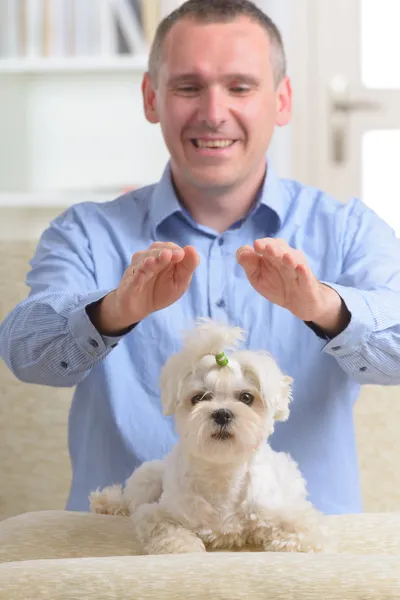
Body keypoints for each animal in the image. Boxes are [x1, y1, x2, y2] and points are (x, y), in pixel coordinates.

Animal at [90, 322, 332, 556]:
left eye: (246, 397)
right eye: (199, 398)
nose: (222, 413)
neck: (222, 474)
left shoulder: (279, 509)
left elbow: (303, 527)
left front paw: (301, 542)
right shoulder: (158, 512)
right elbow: (165, 527)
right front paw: (182, 545)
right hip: (148, 477)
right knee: (131, 500)